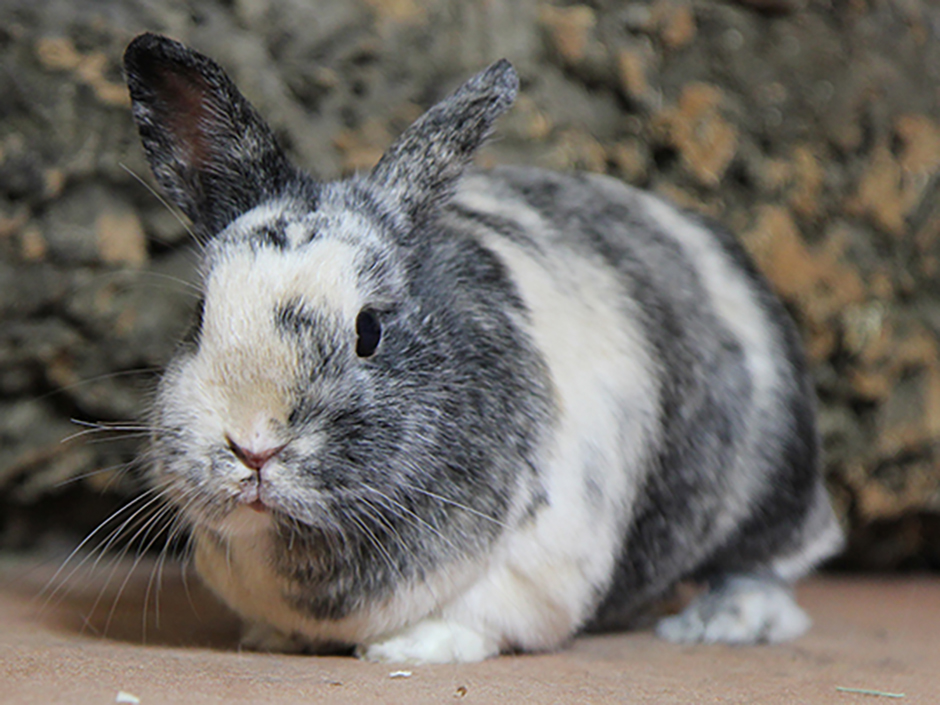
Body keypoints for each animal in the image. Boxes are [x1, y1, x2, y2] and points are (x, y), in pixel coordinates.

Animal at [121, 31, 840, 660]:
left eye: (368, 331)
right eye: (200, 315)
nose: (253, 445)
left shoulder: (536, 565)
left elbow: (473, 618)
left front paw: (410, 649)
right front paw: (273, 639)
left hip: (770, 484)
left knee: (776, 558)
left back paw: (723, 620)